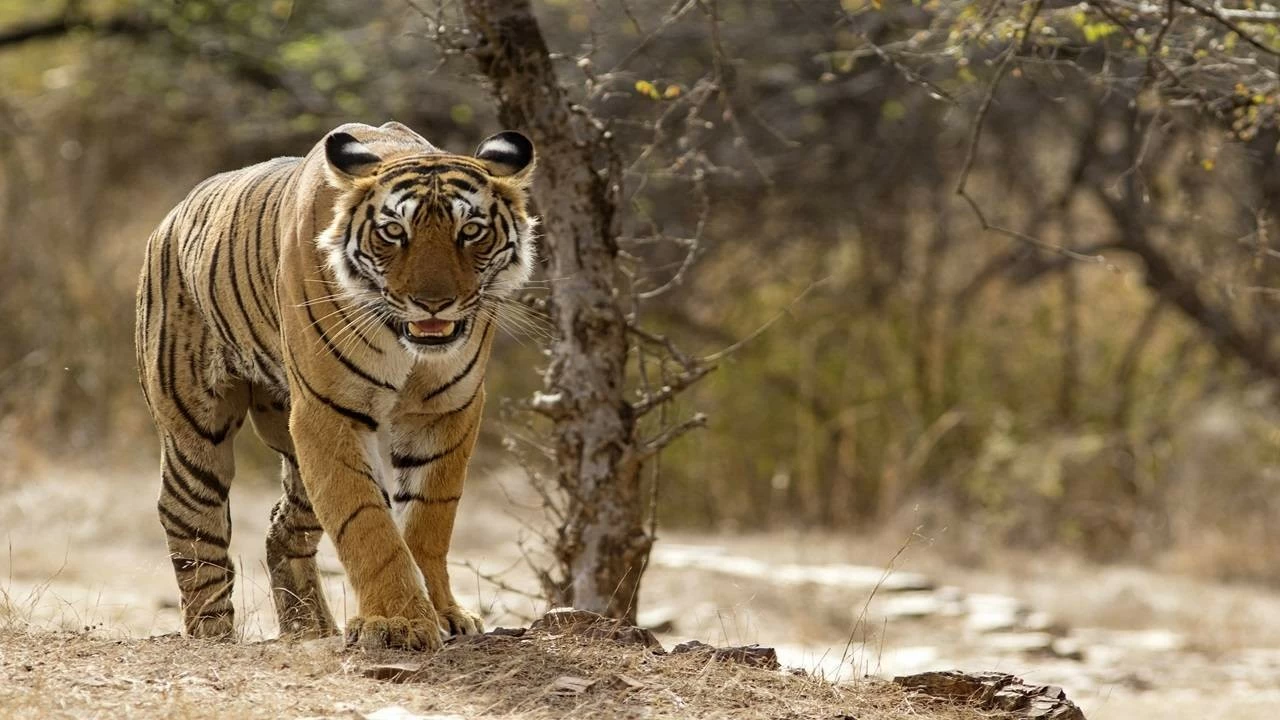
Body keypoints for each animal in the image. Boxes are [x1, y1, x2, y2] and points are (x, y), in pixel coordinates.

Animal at [134, 121, 536, 650]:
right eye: (394, 232)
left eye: (470, 231)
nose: (433, 304)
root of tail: (172, 215)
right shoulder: (328, 412)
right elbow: (366, 522)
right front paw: (397, 623)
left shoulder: (446, 409)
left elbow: (428, 518)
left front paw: (443, 613)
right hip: (195, 428)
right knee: (191, 523)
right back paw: (213, 636)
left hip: (291, 452)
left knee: (282, 528)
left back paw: (309, 628)